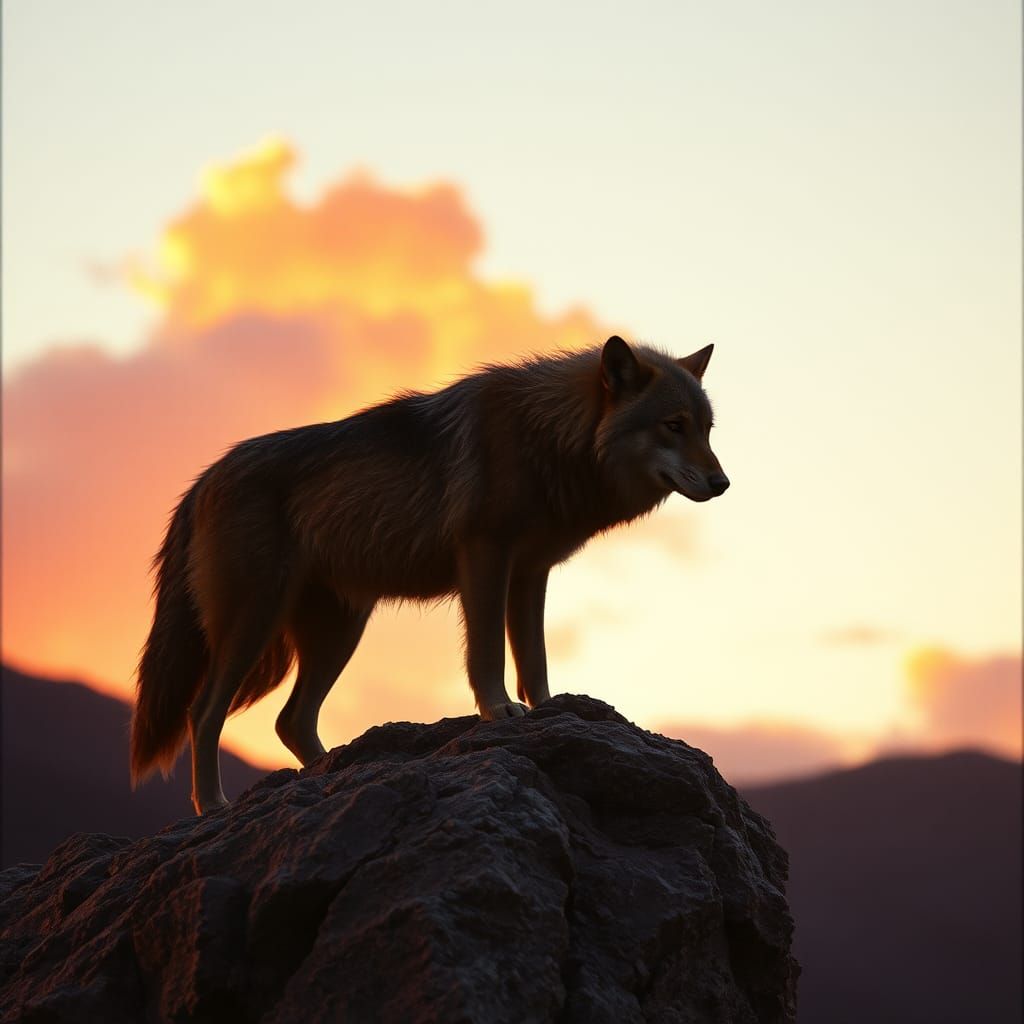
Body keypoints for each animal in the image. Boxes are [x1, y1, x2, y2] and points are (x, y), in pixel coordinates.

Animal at [131, 336, 729, 813]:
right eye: (673, 426)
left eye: (706, 429)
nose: (723, 483)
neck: (551, 436)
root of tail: (202, 481)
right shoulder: (485, 558)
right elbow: (487, 655)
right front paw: (498, 712)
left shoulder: (530, 573)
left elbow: (533, 661)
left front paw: (546, 711)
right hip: (254, 625)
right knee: (204, 714)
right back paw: (213, 805)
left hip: (338, 633)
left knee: (291, 721)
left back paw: (335, 776)